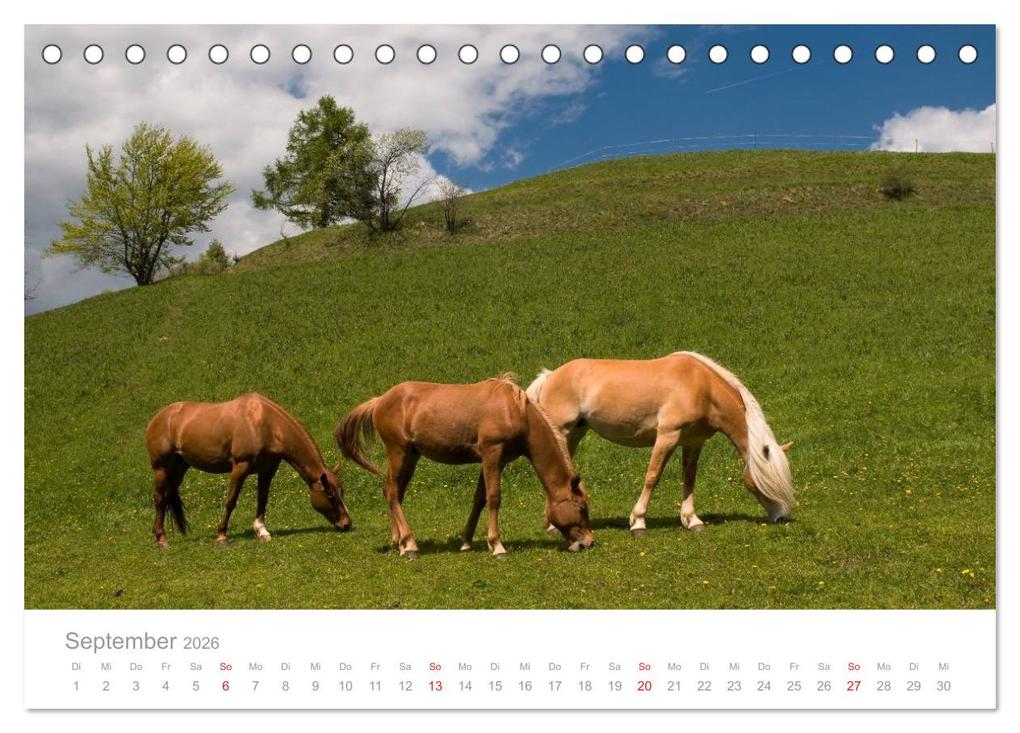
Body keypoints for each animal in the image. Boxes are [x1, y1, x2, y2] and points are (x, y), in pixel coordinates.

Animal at [146, 392, 352, 548]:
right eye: (330, 494)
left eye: (341, 492)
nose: (347, 524)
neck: (264, 422)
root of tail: (158, 418)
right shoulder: (240, 466)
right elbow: (231, 501)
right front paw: (222, 536)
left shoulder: (268, 470)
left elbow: (262, 500)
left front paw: (262, 531)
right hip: (161, 468)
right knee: (159, 498)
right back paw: (162, 539)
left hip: (179, 468)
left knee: (166, 495)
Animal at [335, 376, 594, 559]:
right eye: (581, 507)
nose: (589, 543)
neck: (516, 412)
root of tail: (380, 401)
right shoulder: (492, 455)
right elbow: (494, 497)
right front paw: (497, 546)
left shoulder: (493, 460)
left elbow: (479, 498)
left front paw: (467, 542)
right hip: (398, 452)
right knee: (391, 492)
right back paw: (410, 545)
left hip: (410, 457)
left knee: (394, 492)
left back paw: (399, 542)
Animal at [525, 352, 794, 537]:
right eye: (771, 479)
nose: (782, 517)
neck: (701, 387)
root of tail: (550, 375)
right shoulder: (667, 436)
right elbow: (652, 477)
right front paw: (638, 523)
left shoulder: (693, 442)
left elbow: (689, 479)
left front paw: (692, 520)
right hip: (562, 433)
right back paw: (553, 527)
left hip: (574, 435)